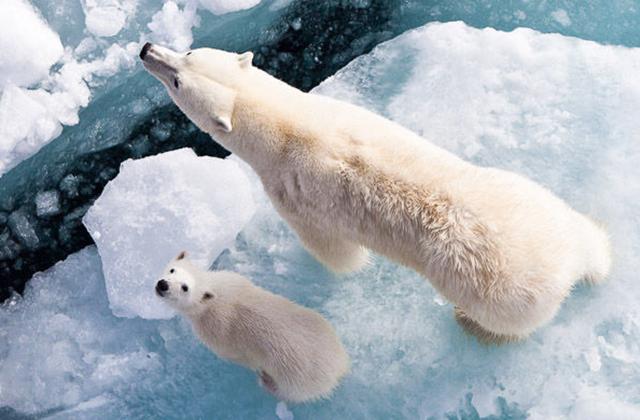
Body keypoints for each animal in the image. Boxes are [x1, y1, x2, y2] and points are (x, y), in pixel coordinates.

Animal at [139, 42, 608, 344]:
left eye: (178, 77)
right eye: (188, 56)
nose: (145, 49)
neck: (291, 127)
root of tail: (565, 263)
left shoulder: (293, 193)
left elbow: (334, 251)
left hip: (499, 291)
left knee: (508, 321)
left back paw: (470, 323)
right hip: (528, 195)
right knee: (584, 232)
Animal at [158, 251, 352, 402]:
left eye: (185, 287)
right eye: (172, 269)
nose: (163, 285)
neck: (216, 294)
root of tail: (340, 367)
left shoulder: (216, 332)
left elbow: (235, 356)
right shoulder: (233, 278)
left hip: (296, 379)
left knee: (290, 393)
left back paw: (266, 382)